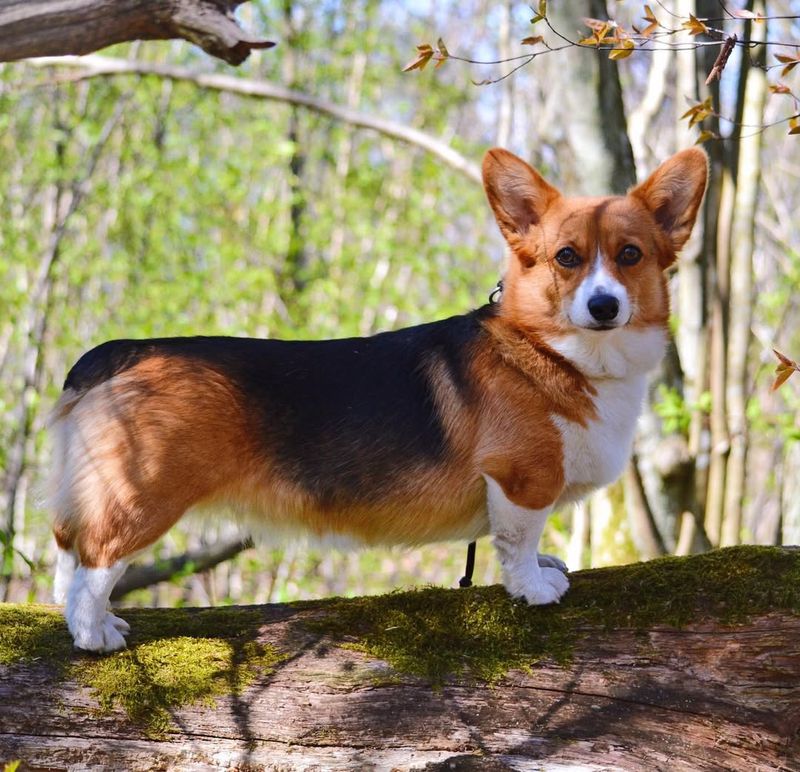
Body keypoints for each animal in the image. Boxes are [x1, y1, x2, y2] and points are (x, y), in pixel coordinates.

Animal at [48, 146, 708, 652]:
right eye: (567, 257)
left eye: (630, 255)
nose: (604, 306)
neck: (555, 352)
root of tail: (119, 353)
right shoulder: (520, 479)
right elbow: (518, 541)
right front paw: (533, 588)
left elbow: (526, 542)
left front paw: (544, 567)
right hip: (144, 495)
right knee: (97, 559)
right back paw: (93, 634)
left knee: (70, 554)